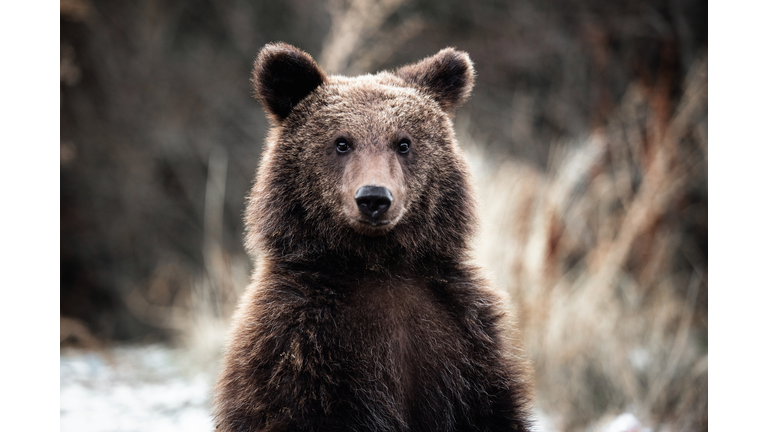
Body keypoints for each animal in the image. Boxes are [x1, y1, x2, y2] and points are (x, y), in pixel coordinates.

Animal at [213, 41, 532, 432]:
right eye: (341, 142)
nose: (374, 198)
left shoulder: (466, 344)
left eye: (404, 143)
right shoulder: (297, 347)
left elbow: (490, 406)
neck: (379, 264)